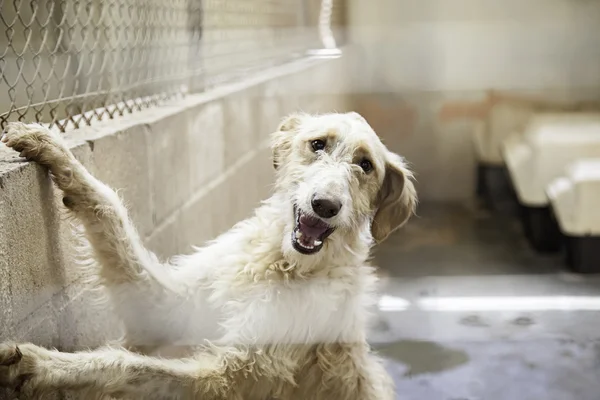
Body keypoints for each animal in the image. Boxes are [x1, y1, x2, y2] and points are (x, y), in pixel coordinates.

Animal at [0, 111, 418, 400]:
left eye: (365, 165)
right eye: (318, 144)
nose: (326, 205)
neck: (283, 263)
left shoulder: (231, 378)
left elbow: (129, 366)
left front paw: (38, 364)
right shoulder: (171, 305)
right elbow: (110, 211)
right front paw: (54, 150)